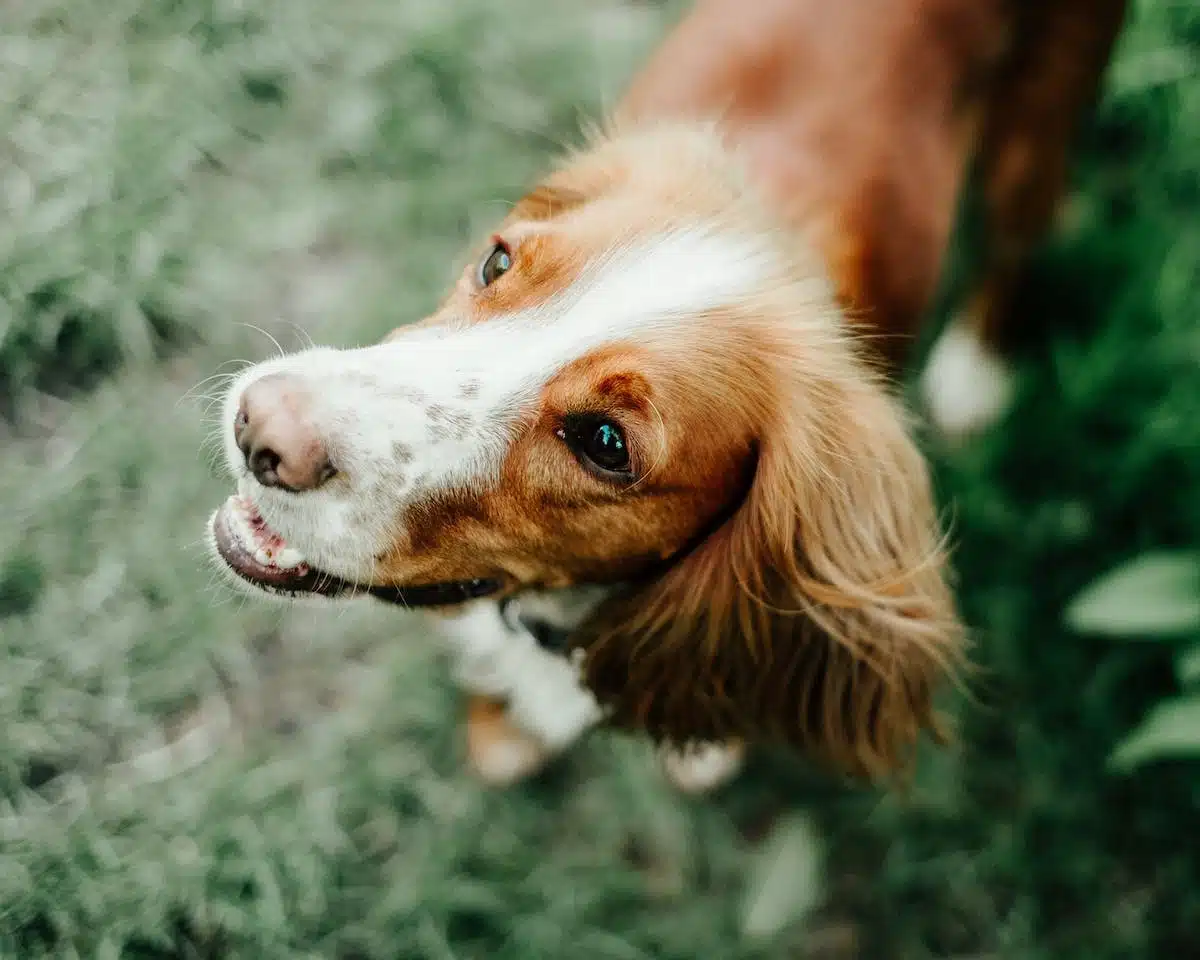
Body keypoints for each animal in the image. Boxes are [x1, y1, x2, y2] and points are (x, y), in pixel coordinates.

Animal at [204, 0, 1123, 792]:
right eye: (497, 261)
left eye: (605, 443)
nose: (262, 428)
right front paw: (501, 725)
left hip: (1040, 120)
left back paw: (974, 368)